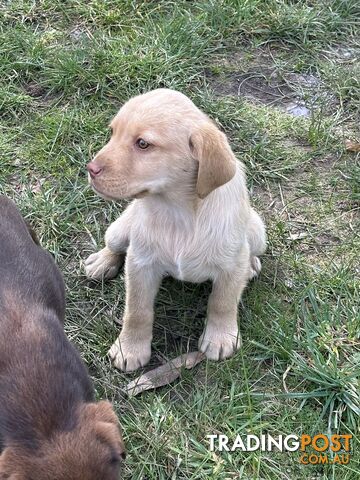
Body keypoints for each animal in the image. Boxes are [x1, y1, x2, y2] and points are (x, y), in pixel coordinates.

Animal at [83, 88, 264, 372]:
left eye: (143, 144)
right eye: (112, 133)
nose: (91, 169)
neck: (178, 212)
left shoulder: (231, 265)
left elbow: (222, 302)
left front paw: (221, 337)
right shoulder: (141, 263)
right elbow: (137, 310)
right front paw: (129, 348)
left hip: (257, 232)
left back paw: (252, 264)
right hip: (119, 229)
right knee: (114, 245)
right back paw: (102, 262)